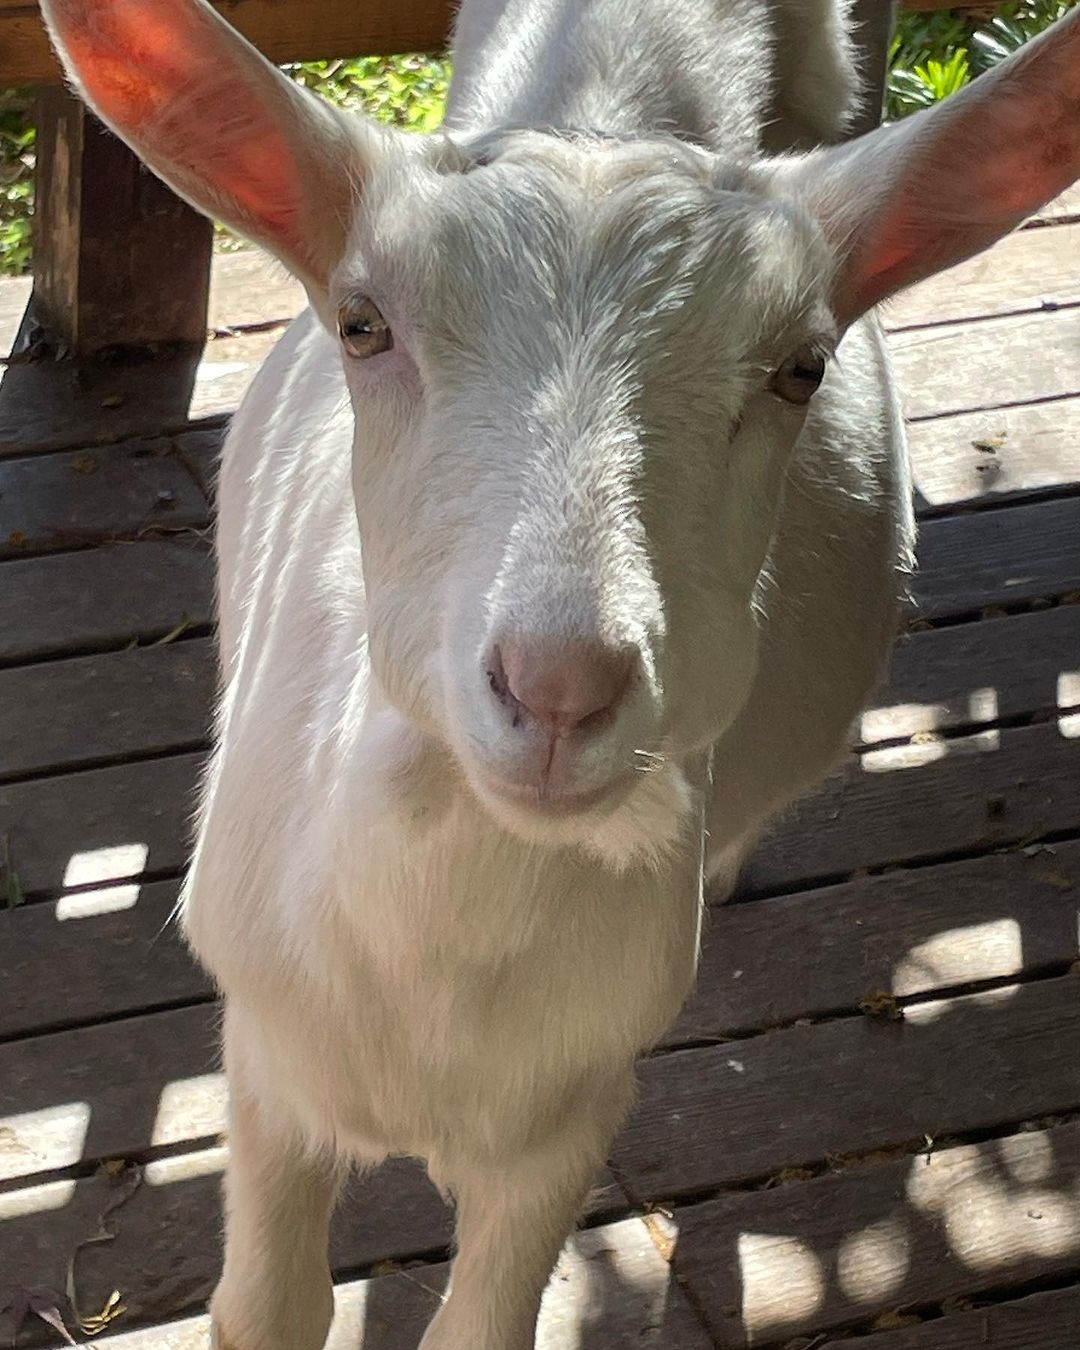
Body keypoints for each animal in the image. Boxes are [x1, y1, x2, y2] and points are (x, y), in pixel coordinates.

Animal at [44, 0, 1080, 1344]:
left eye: (800, 367)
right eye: (363, 324)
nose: (558, 688)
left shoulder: (569, 1118)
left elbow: (480, 1324)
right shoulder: (267, 1061)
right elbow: (268, 1308)